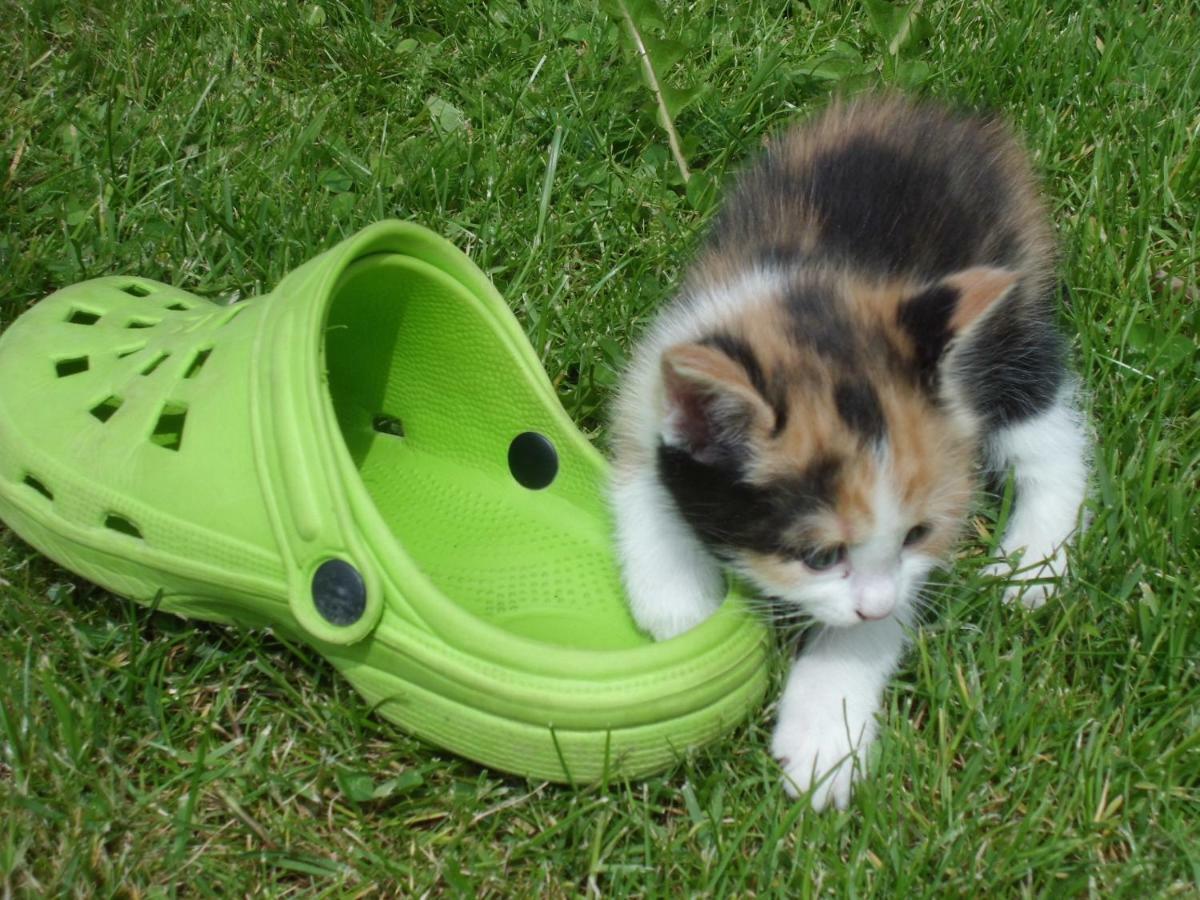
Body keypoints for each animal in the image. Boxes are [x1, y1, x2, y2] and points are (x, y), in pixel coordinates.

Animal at [609, 97, 1089, 811]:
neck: (806, 296)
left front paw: (824, 734)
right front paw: (679, 607)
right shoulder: (656, 372)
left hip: (1010, 323)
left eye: (916, 534)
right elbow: (642, 474)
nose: (877, 604)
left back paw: (1034, 562)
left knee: (1053, 434)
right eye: (819, 556)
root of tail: (952, 117)